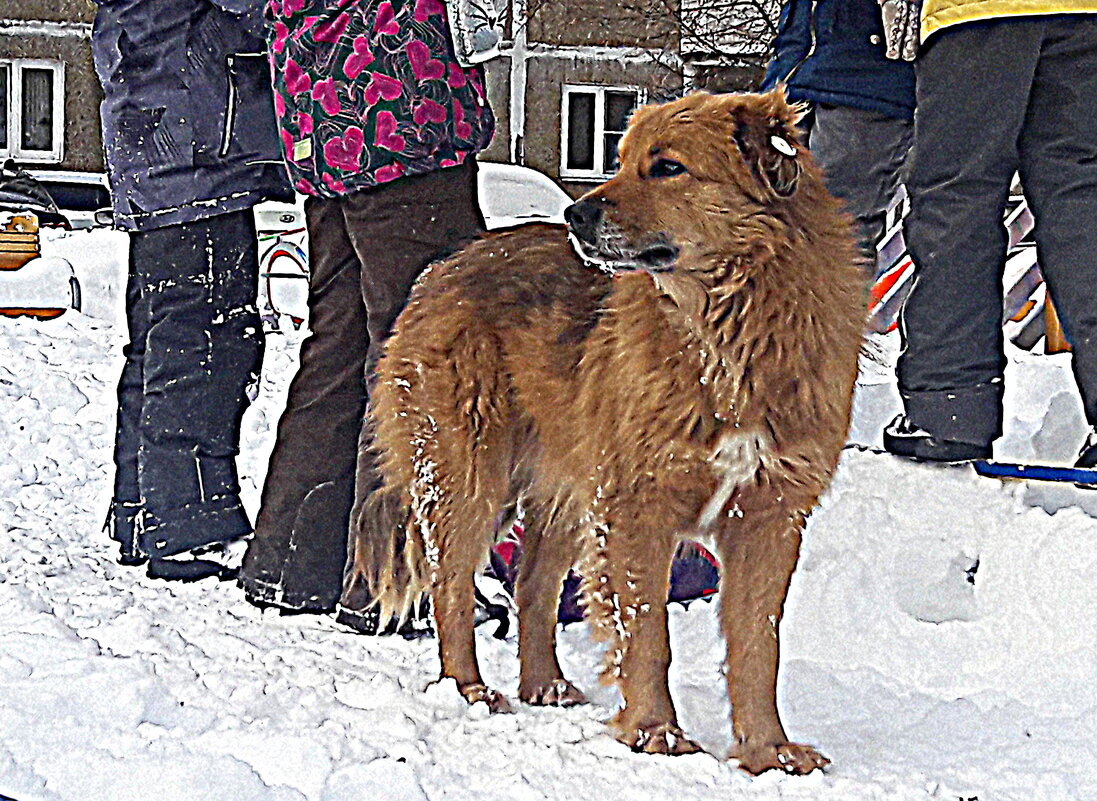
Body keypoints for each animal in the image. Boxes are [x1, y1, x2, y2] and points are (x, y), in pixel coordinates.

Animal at [351, 90, 864, 772]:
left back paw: (543, 685)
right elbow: (646, 631)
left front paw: (768, 749)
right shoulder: (636, 507)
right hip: (466, 473)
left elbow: (759, 645)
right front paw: (655, 730)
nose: (575, 214)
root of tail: (444, 267)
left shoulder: (769, 516)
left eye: (667, 167)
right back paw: (467, 688)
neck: (729, 332)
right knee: (451, 587)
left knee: (533, 588)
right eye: (619, 160)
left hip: (566, 489)